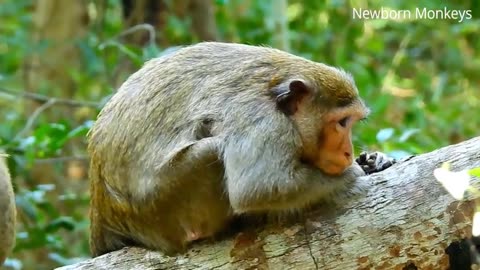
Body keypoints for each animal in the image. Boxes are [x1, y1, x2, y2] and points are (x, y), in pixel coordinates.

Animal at [88, 42, 396, 258]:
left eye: (351, 122)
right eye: (341, 122)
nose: (347, 152)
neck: (276, 98)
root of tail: (102, 215)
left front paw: (372, 161)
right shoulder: (259, 117)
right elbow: (257, 187)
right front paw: (352, 176)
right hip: (162, 211)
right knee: (213, 151)